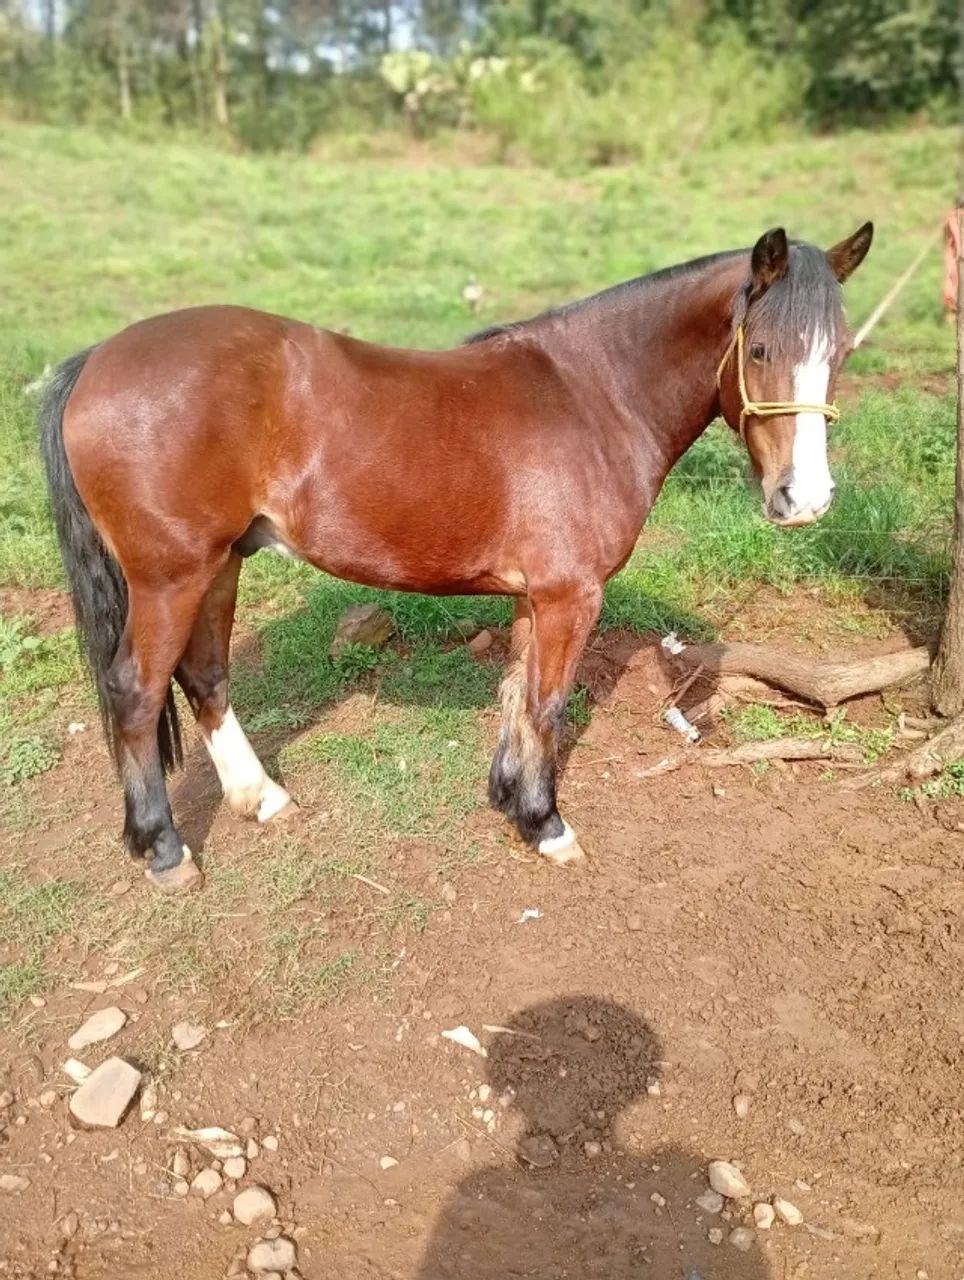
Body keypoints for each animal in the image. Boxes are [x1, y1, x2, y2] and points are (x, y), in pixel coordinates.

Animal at [40, 222, 872, 893]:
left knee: (204, 675)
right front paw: (547, 825)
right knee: (135, 692)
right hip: (171, 576)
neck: (593, 396)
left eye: (840, 354)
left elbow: (517, 692)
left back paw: (261, 798)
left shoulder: (536, 594)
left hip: (220, 563)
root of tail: (93, 361)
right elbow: (547, 702)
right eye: (759, 348)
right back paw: (165, 851)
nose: (805, 499)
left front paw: (511, 799)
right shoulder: (572, 595)